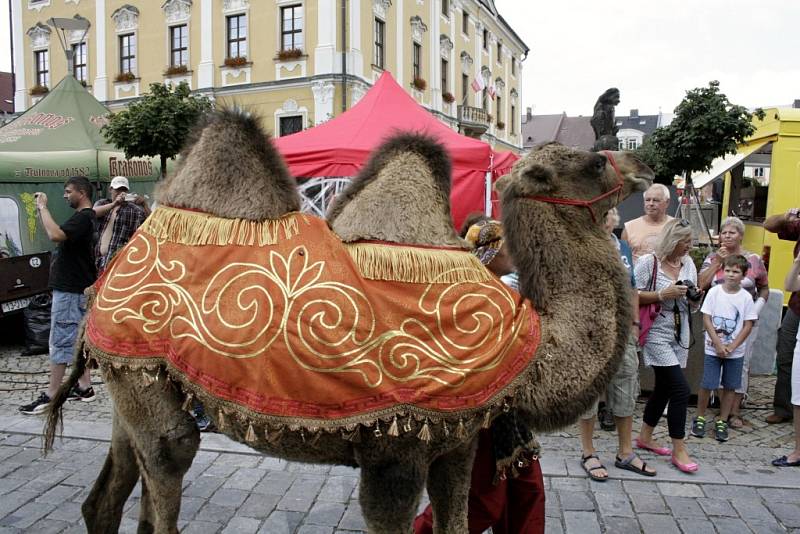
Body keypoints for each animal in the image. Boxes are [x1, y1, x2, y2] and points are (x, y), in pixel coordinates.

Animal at [43, 110, 652, 534]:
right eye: (594, 161)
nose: (644, 165)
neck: (522, 342)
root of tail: (107, 276)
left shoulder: (457, 444)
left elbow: (456, 517)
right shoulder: (395, 452)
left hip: (134, 378)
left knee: (110, 494)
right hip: (144, 376)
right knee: (170, 457)